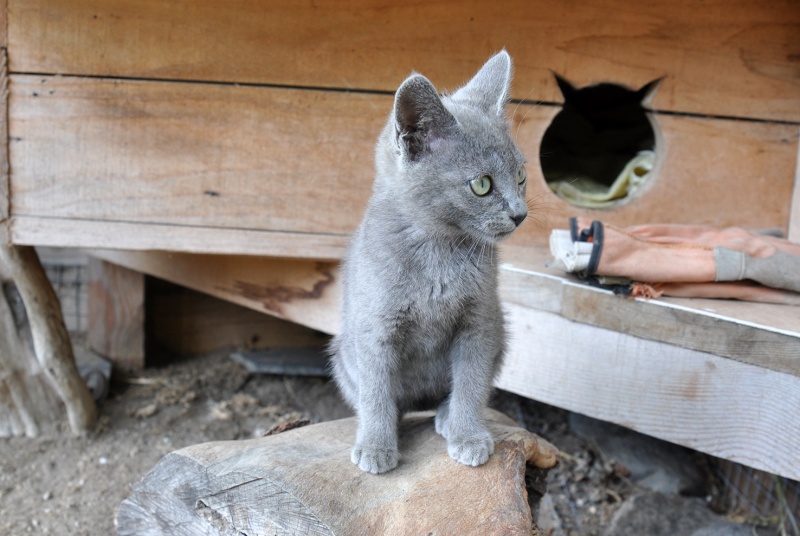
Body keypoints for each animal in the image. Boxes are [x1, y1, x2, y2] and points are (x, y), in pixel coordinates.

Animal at [328, 51, 528, 474]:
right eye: (482, 185)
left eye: (521, 175)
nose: (520, 214)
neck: (440, 250)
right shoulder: (375, 328)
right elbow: (376, 391)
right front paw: (375, 445)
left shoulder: (480, 321)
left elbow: (471, 381)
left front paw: (467, 435)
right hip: (342, 352)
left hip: (502, 328)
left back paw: (446, 415)